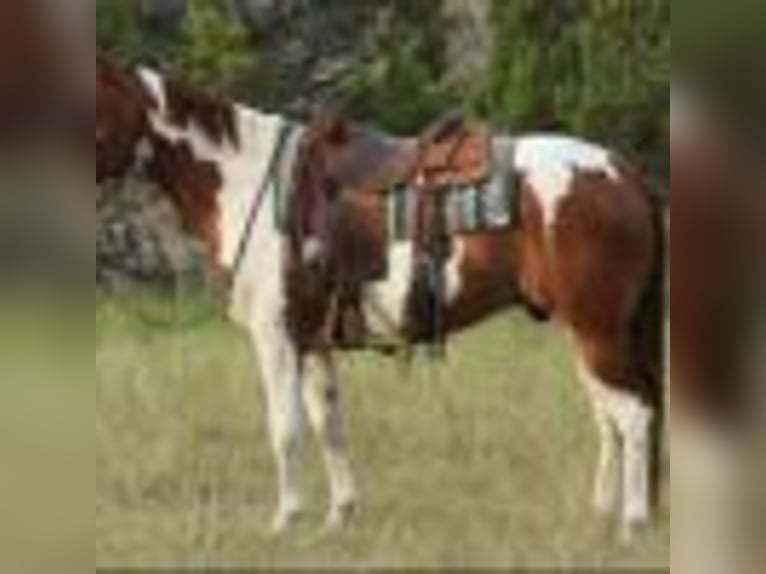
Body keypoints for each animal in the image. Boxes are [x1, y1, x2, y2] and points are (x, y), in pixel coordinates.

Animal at [95, 55, 667, 539]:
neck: (246, 179)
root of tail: (623, 174)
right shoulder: (313, 342)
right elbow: (327, 424)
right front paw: (339, 516)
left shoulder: (275, 336)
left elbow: (285, 428)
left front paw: (286, 520)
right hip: (586, 331)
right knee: (609, 417)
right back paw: (602, 515)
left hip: (598, 329)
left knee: (633, 414)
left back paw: (633, 524)